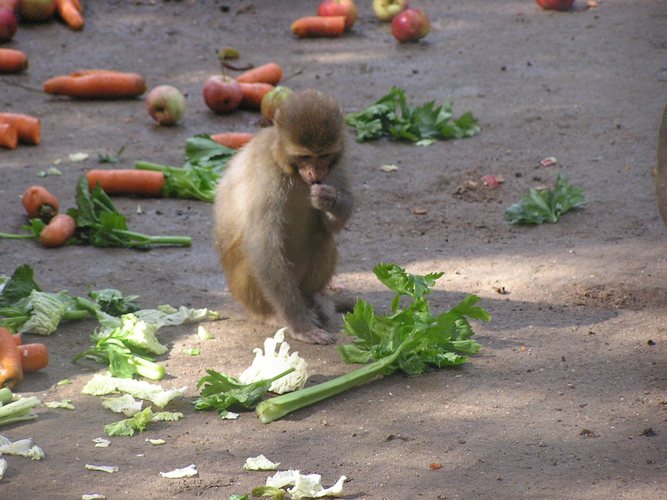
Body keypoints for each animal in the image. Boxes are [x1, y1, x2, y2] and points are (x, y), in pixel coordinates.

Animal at [217, 89, 358, 344]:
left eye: (323, 155)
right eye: (305, 156)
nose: (315, 172)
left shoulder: (337, 164)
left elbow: (332, 220)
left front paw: (330, 201)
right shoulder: (266, 175)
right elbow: (262, 245)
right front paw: (299, 325)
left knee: (321, 236)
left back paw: (315, 298)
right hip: (245, 290)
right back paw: (272, 315)